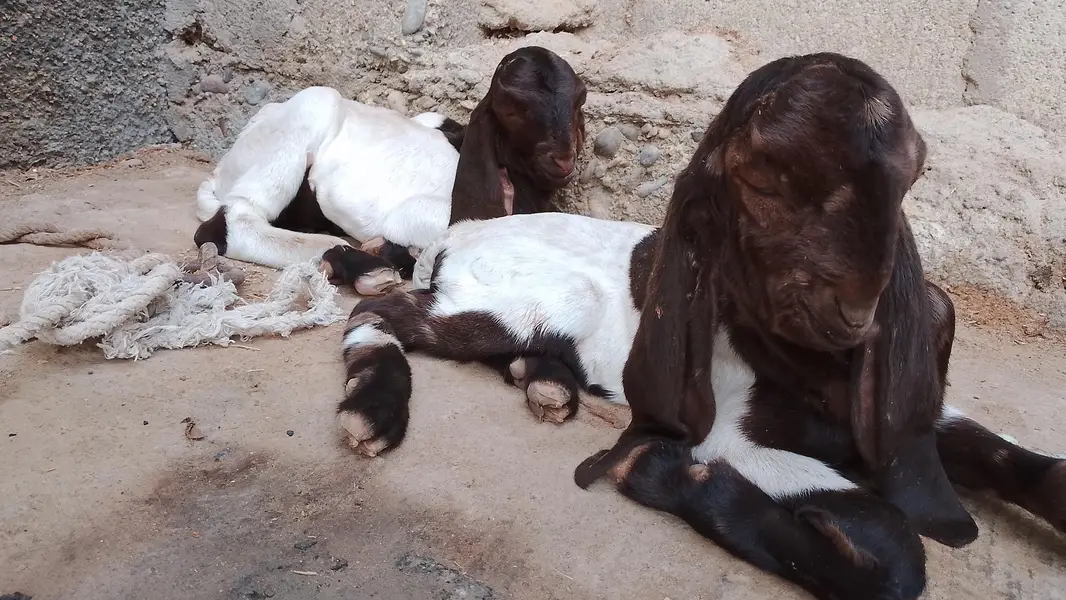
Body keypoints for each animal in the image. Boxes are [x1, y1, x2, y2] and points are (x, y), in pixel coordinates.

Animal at [193, 46, 587, 296]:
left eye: (579, 100)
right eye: (512, 109)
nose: (563, 160)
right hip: (307, 112)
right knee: (232, 221)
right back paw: (359, 262)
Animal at [328, 54, 1065, 600]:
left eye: (908, 181)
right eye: (762, 184)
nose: (854, 311)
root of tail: (471, 228)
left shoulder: (916, 412)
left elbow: (1026, 465)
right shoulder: (733, 436)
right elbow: (895, 545)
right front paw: (664, 474)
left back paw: (544, 382)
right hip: (528, 301)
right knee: (380, 316)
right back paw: (374, 404)